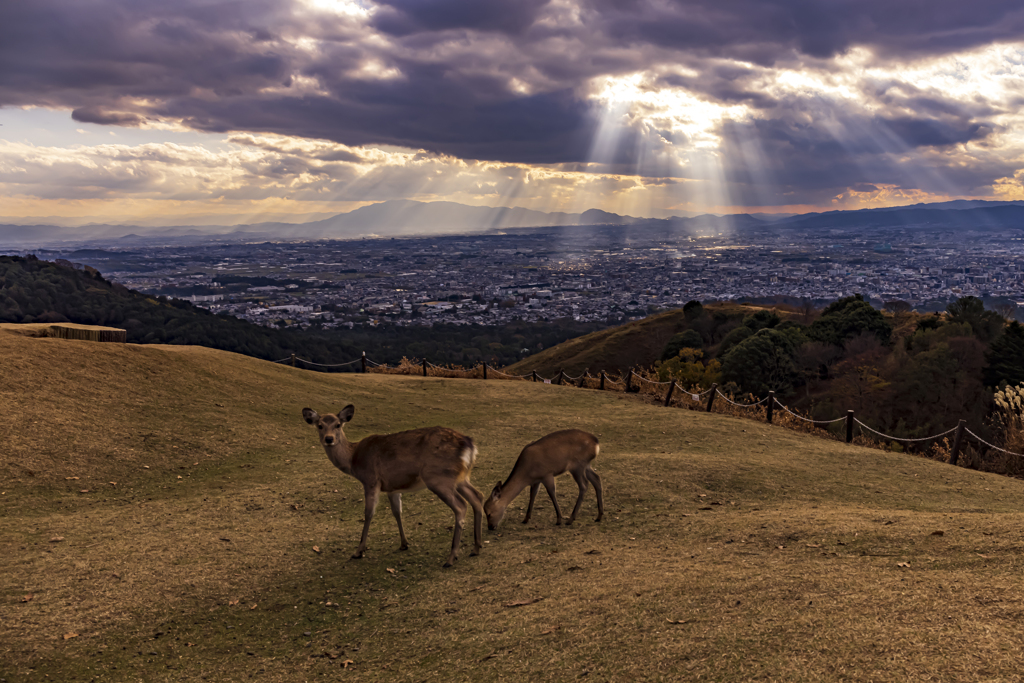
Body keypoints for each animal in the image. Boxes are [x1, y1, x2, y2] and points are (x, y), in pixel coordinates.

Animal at [301, 403, 485, 569]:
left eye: (338, 424)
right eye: (320, 425)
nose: (329, 439)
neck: (353, 460)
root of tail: (470, 445)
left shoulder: (371, 480)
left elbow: (368, 513)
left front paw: (358, 551)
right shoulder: (392, 487)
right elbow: (397, 512)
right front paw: (404, 544)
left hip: (438, 477)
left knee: (461, 506)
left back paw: (451, 558)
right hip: (461, 478)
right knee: (477, 496)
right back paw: (476, 548)